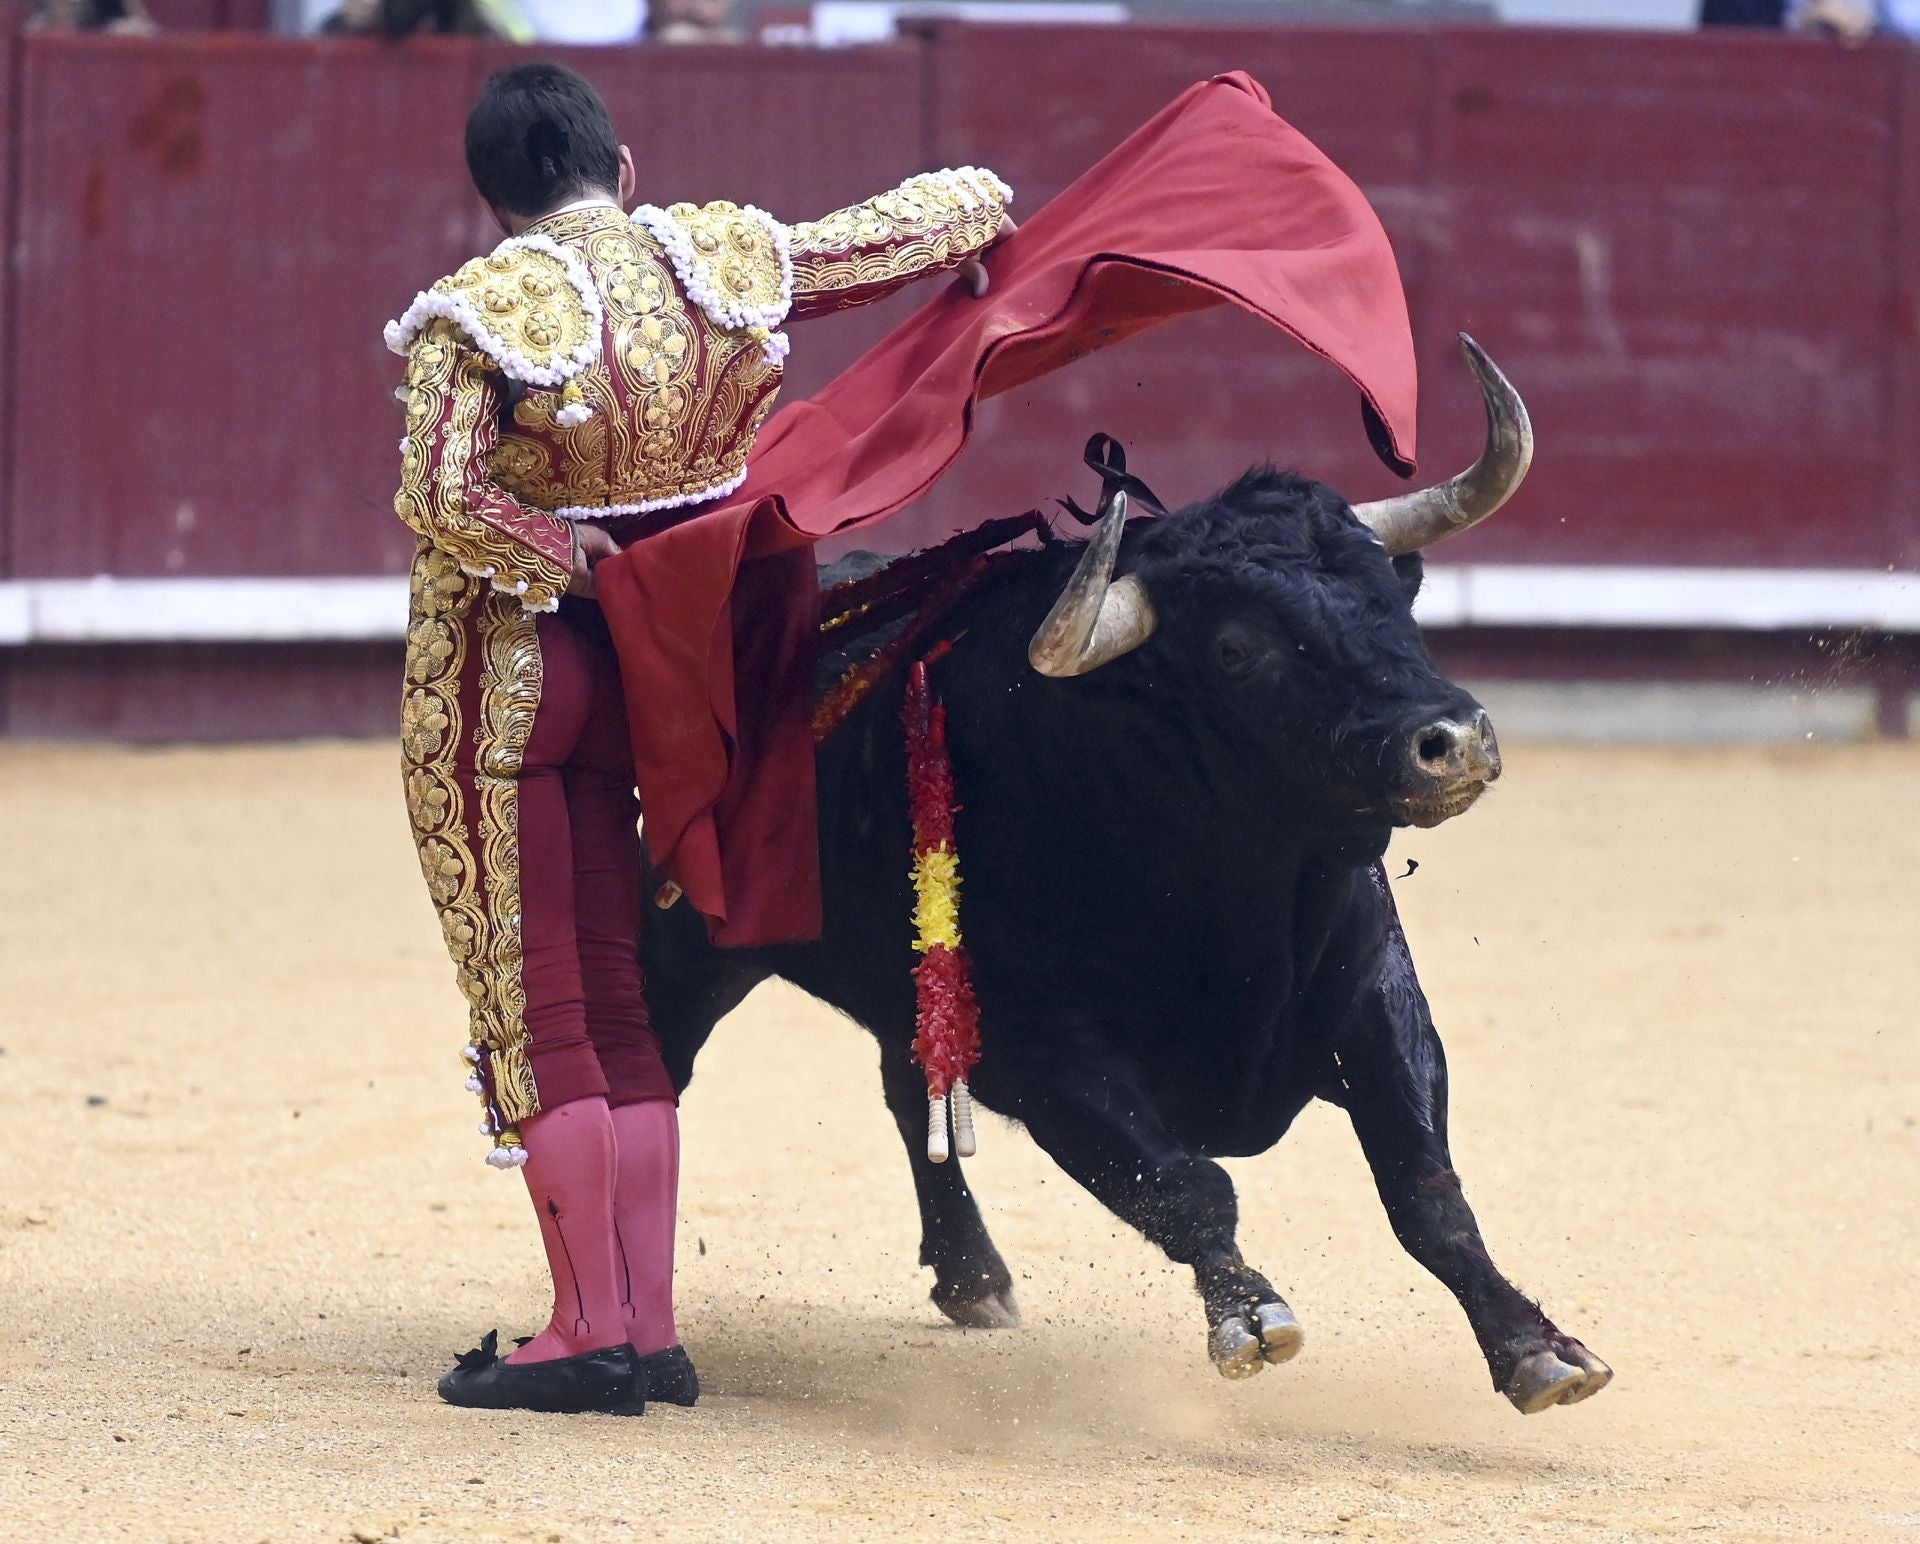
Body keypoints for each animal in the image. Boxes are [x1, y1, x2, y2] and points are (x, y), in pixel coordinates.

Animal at [637, 343, 1612, 1421]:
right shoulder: (1051, 1058)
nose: (1451, 740)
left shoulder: (1376, 1002)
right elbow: (1184, 1188)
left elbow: (1426, 1188)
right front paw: (1250, 1313)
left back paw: (975, 1278)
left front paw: (1538, 1347)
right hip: (685, 946)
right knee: (655, 1067)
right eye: (1236, 648)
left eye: (1398, 592)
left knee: (907, 1086)